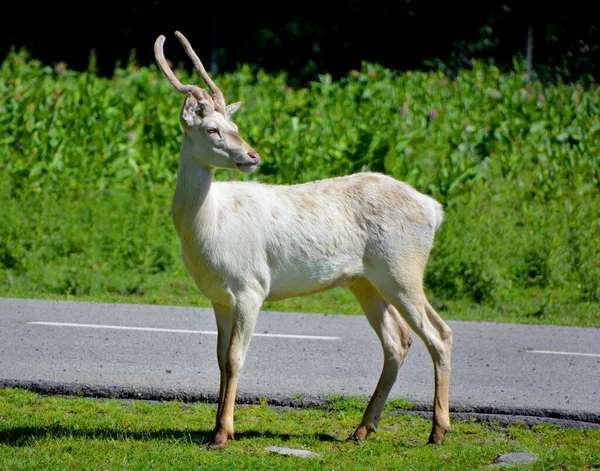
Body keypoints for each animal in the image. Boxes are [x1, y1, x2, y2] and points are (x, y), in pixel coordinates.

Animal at [152, 31, 452, 452]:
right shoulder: (219, 296)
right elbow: (219, 358)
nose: (252, 155)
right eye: (212, 129)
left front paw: (222, 435)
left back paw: (438, 431)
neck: (209, 229)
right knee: (398, 340)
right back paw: (362, 429)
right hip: (365, 280)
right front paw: (216, 429)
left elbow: (235, 358)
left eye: (234, 123)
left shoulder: (251, 287)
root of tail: (433, 209)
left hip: (402, 269)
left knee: (439, 334)